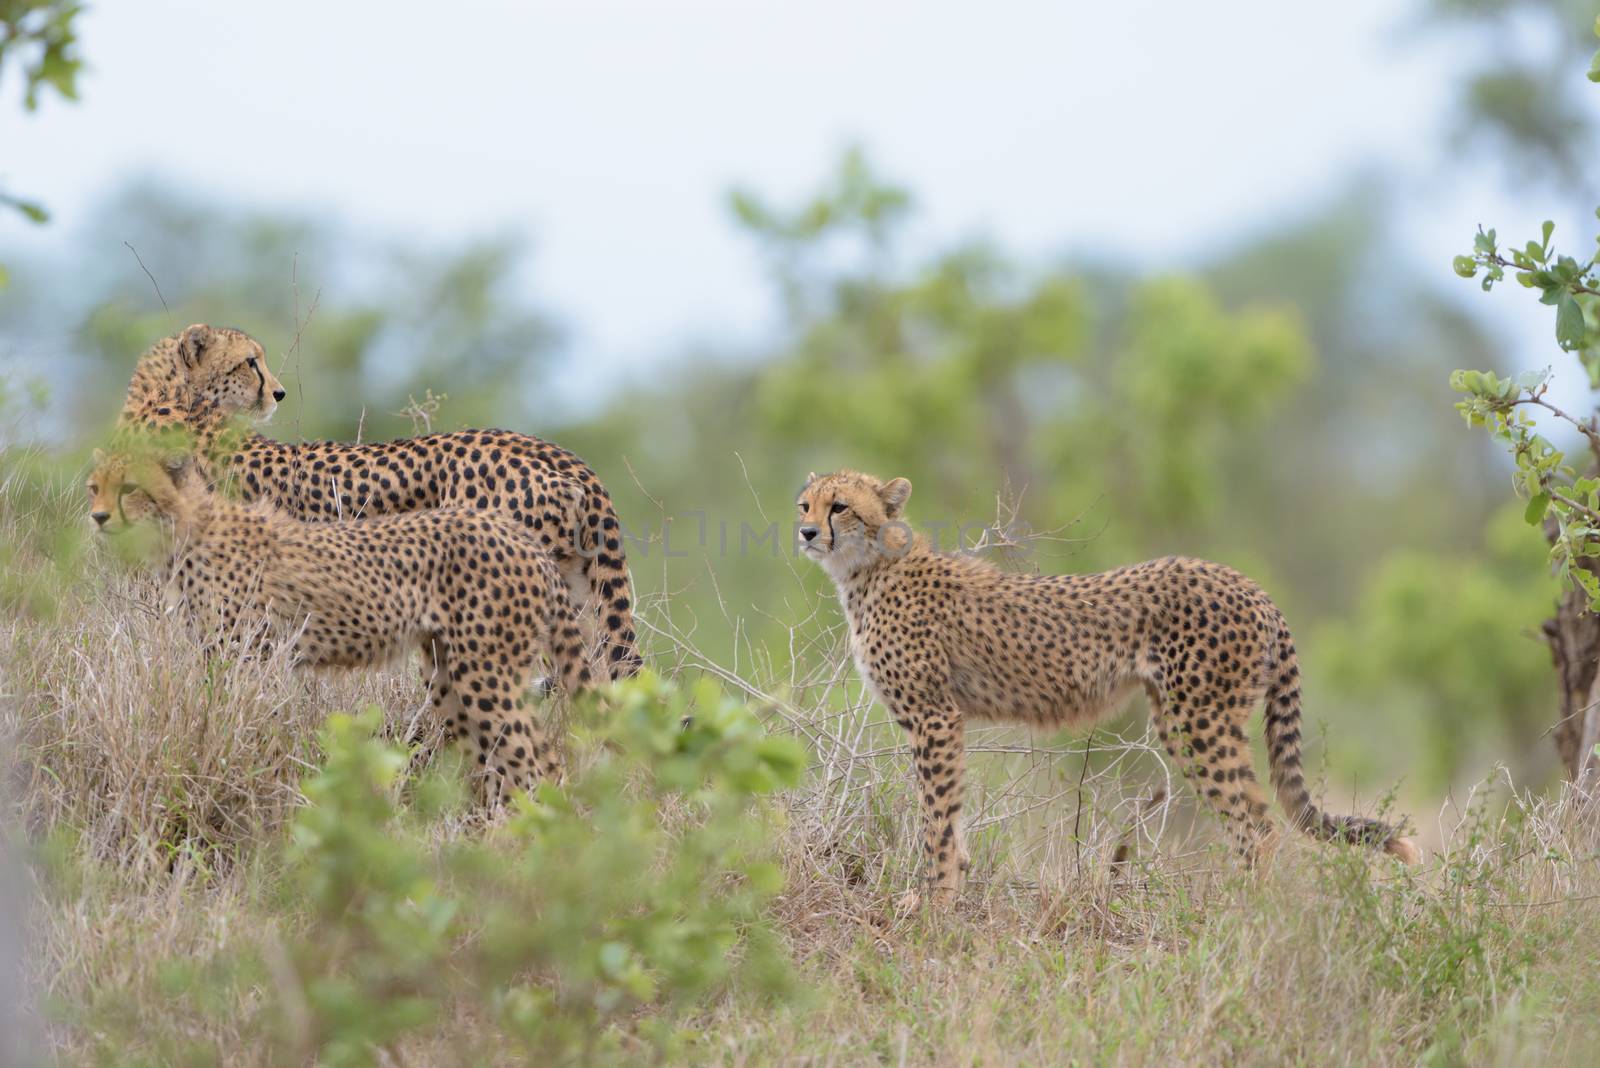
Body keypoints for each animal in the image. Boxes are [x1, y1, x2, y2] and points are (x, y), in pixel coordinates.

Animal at [86, 444, 595, 799]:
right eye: (95, 486)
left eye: (129, 488)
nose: (98, 517)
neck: (185, 526)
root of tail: (522, 537)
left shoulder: (248, 657)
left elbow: (236, 725)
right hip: (445, 674)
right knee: (502, 760)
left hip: (486, 672)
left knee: (536, 762)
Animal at [793, 470, 1420, 901]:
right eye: (806, 503)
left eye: (840, 506)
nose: (804, 531)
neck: (870, 567)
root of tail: (1246, 582)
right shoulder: (944, 719)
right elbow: (948, 815)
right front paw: (951, 887)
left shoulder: (935, 716)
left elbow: (937, 817)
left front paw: (933, 900)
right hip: (1188, 718)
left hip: (1197, 720)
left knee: (1258, 826)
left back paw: (1244, 914)